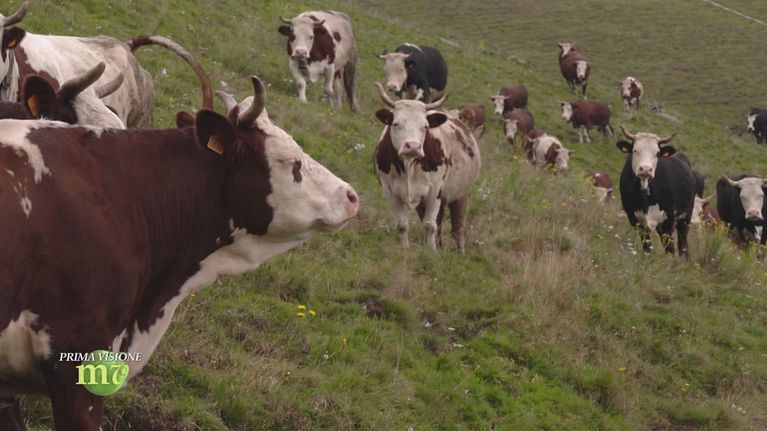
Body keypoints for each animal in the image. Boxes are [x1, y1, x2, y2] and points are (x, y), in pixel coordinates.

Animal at [373, 83, 479, 253]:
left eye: (425, 126)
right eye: (395, 123)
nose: (413, 146)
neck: (409, 165)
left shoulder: (434, 191)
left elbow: (430, 225)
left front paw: (431, 252)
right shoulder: (390, 191)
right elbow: (402, 224)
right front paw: (405, 249)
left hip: (460, 193)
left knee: (457, 226)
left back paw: (460, 252)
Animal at [616, 126, 695, 256]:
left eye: (657, 153)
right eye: (635, 150)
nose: (646, 169)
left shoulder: (668, 220)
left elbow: (670, 249)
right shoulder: (637, 222)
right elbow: (647, 248)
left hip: (685, 217)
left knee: (682, 245)